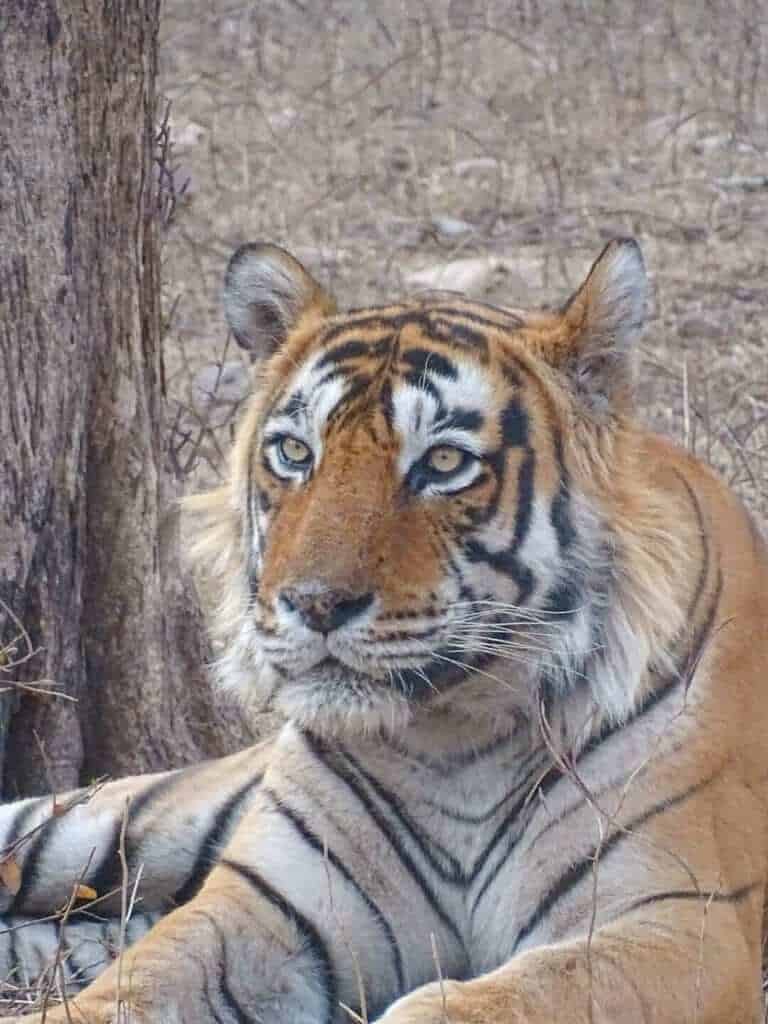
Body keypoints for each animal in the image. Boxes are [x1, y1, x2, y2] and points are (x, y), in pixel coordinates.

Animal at [1, 237, 766, 1024]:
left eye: (445, 461)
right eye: (295, 453)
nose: (313, 603)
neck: (456, 741)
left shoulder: (681, 922)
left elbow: (470, 1003)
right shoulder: (268, 904)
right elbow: (136, 984)